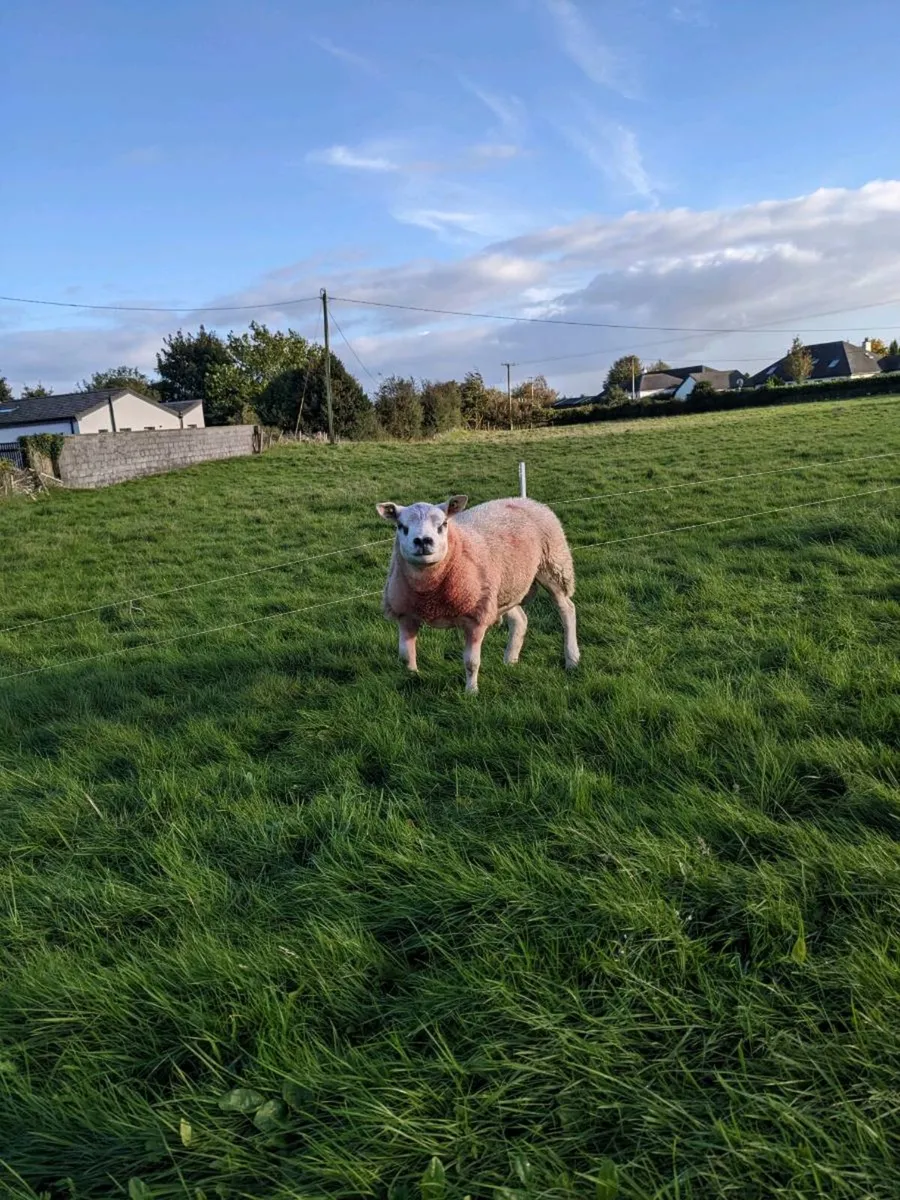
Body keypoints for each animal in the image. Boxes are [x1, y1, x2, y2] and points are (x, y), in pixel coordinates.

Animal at [375, 493, 579, 693]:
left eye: (443, 524)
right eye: (401, 526)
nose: (423, 541)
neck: (429, 594)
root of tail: (527, 500)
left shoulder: (476, 617)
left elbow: (471, 662)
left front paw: (471, 693)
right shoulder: (405, 615)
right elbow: (405, 656)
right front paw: (411, 678)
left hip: (553, 567)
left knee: (567, 609)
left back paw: (572, 659)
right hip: (502, 589)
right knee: (520, 619)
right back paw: (510, 660)